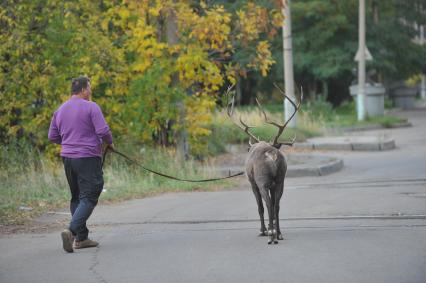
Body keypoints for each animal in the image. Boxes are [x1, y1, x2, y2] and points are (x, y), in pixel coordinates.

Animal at [226, 83, 302, 245]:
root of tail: (271, 155)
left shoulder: (253, 183)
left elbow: (259, 207)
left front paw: (263, 230)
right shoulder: (274, 184)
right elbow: (274, 205)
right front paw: (271, 229)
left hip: (262, 181)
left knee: (267, 204)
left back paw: (271, 236)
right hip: (280, 180)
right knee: (276, 205)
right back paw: (278, 233)